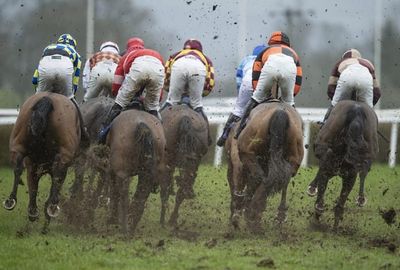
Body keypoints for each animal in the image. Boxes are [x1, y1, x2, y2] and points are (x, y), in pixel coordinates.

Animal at [3, 92, 80, 232]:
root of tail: (48, 97)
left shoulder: (32, 166)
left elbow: (32, 187)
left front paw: (33, 213)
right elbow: (55, 183)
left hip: (18, 143)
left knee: (17, 168)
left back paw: (12, 201)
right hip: (64, 155)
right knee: (57, 177)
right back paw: (51, 208)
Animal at [234, 100, 304, 231]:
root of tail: (280, 113)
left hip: (249, 153)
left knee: (258, 177)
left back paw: (250, 211)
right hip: (294, 159)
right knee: (279, 180)